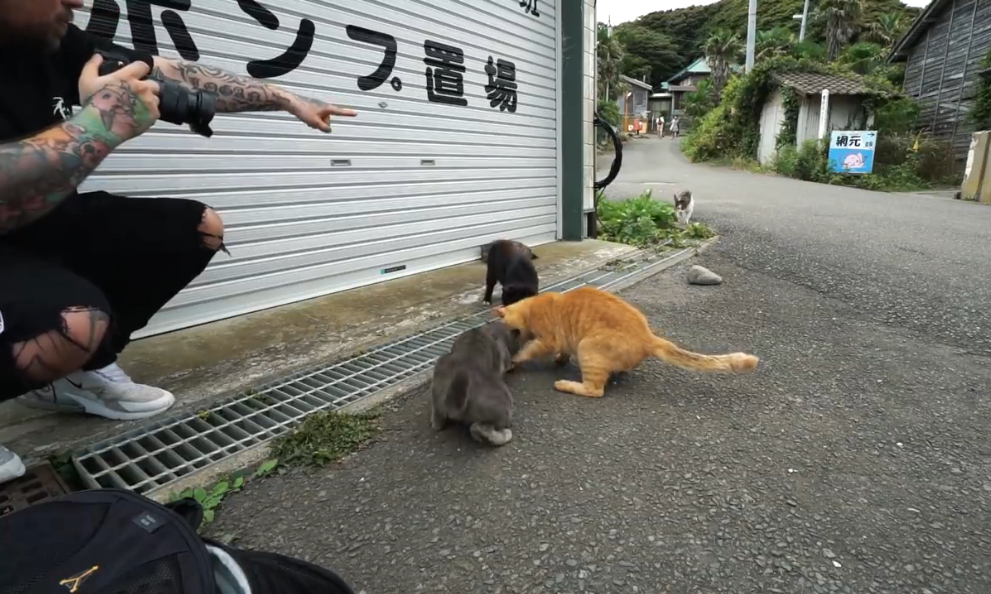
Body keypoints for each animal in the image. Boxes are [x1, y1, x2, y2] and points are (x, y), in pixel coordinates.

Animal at [496, 284, 760, 396]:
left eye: (511, 331)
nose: (509, 337)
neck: (531, 307)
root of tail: (649, 336)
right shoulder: (563, 342)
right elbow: (562, 352)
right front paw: (560, 360)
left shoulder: (548, 340)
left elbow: (531, 350)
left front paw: (516, 358)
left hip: (587, 347)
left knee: (595, 390)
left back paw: (565, 385)